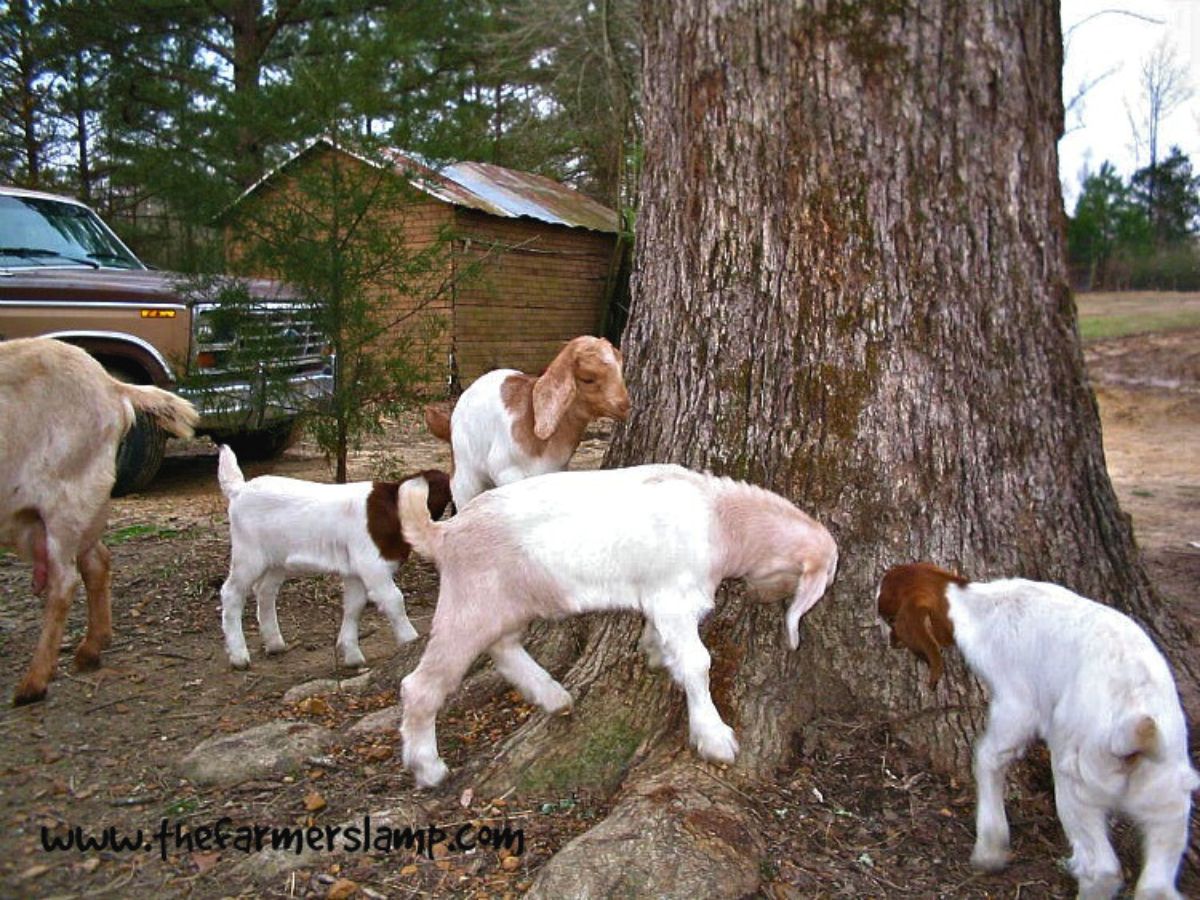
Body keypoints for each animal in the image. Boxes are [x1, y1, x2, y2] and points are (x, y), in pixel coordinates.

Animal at [216, 448, 451, 672]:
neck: (395, 508)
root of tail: (239, 489)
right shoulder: (372, 565)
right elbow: (394, 600)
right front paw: (410, 641)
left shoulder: (354, 571)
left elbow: (354, 606)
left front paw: (352, 655)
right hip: (248, 554)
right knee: (232, 593)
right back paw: (239, 657)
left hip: (276, 560)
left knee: (265, 591)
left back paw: (274, 644)